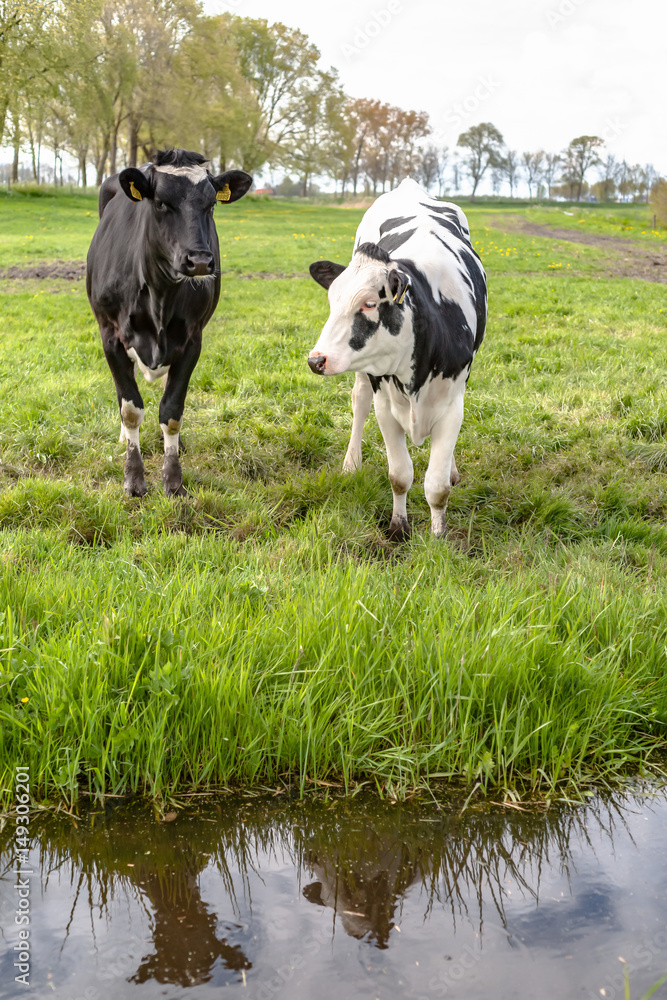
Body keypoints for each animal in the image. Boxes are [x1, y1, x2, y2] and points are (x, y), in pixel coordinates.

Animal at [87, 148, 252, 497]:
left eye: (211, 204)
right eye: (161, 202)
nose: (200, 261)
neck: (159, 295)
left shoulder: (192, 340)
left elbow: (172, 410)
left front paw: (173, 479)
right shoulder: (110, 335)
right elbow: (130, 408)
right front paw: (134, 478)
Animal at [308, 178, 486, 539]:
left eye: (369, 304)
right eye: (332, 301)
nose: (316, 359)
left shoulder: (452, 403)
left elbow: (437, 485)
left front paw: (438, 536)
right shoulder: (386, 405)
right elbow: (400, 475)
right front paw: (398, 527)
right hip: (366, 379)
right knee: (359, 401)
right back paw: (351, 463)